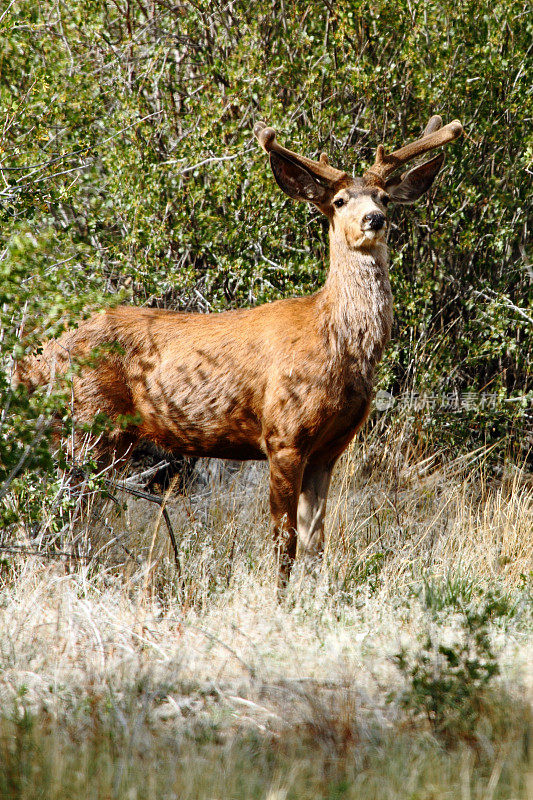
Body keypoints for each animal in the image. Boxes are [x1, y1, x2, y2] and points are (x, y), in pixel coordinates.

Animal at [17, 112, 462, 588]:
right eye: (340, 200)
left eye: (384, 196)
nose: (375, 219)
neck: (334, 341)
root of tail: (40, 354)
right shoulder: (284, 434)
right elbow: (284, 542)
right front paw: (279, 597)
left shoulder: (330, 448)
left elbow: (316, 545)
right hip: (87, 422)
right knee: (60, 509)